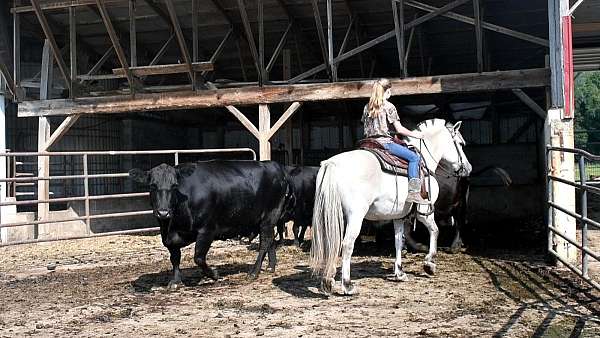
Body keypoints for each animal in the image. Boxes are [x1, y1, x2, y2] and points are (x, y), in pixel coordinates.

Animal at [129, 161, 292, 286]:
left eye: (175, 185)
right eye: (152, 186)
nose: (163, 212)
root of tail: (273, 164)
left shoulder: (207, 230)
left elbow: (199, 257)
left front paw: (214, 274)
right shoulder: (168, 237)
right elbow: (175, 258)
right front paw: (175, 281)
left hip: (269, 216)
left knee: (264, 242)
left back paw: (254, 272)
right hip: (264, 221)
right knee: (270, 240)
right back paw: (271, 266)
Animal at [310, 119, 474, 296]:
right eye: (460, 143)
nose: (468, 168)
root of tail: (332, 164)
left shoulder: (398, 216)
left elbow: (398, 241)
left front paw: (400, 272)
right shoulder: (424, 212)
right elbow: (434, 231)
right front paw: (429, 264)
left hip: (333, 215)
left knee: (330, 243)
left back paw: (328, 281)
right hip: (355, 216)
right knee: (347, 245)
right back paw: (347, 285)